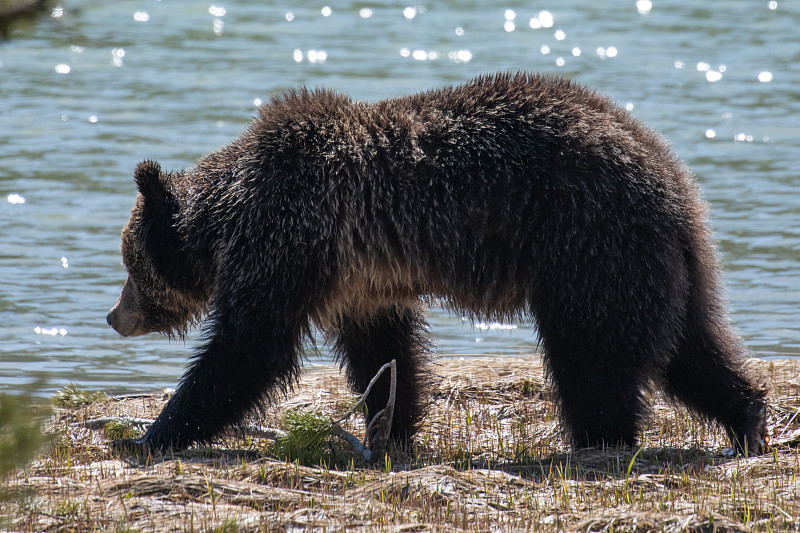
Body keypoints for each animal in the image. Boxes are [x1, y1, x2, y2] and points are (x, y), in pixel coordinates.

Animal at [108, 69, 768, 454]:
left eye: (130, 266)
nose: (114, 316)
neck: (226, 219)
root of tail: (672, 179)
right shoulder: (361, 277)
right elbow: (384, 352)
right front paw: (390, 427)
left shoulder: (291, 235)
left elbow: (248, 347)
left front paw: (153, 433)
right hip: (659, 263)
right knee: (690, 346)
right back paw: (748, 419)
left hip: (586, 244)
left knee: (592, 353)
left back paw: (598, 437)